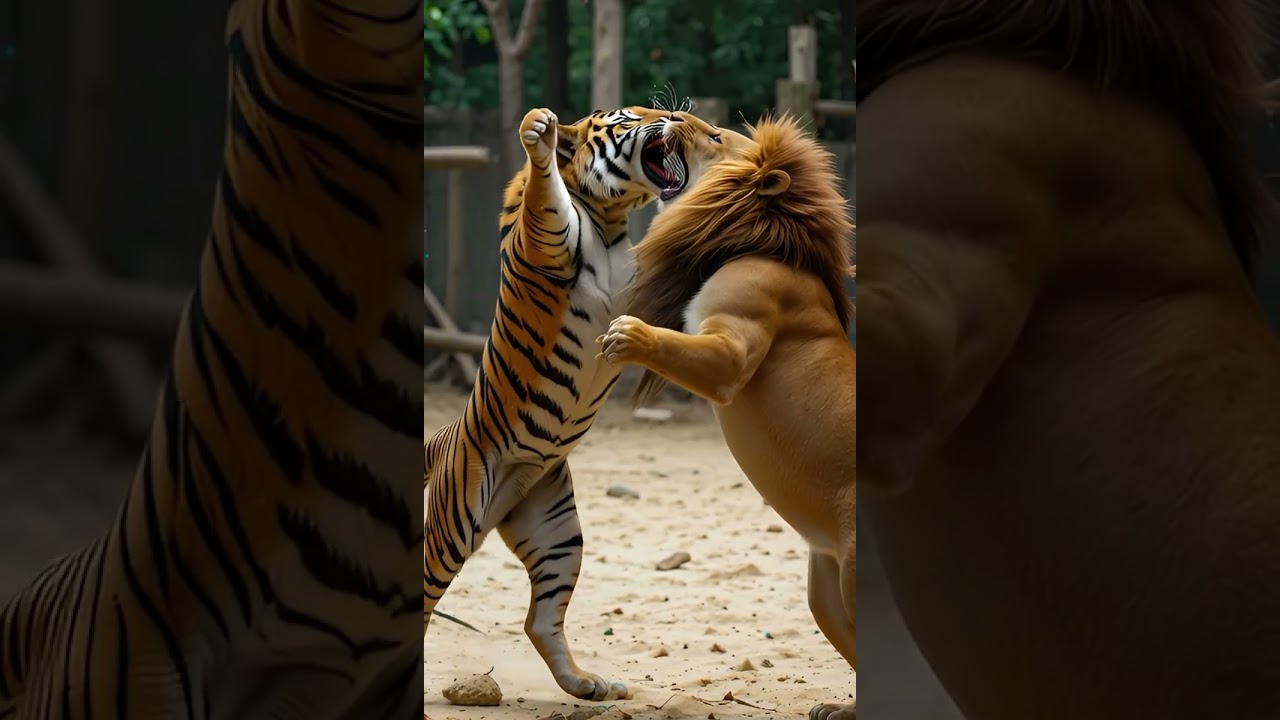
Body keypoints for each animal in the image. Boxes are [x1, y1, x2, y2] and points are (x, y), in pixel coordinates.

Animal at [423, 106, 751, 707]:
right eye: (632, 117)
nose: (675, 115)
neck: (610, 222)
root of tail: (447, 434)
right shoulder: (546, 234)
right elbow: (543, 193)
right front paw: (540, 130)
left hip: (556, 531)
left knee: (539, 620)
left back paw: (589, 684)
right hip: (457, 520)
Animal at [598, 115, 856, 720]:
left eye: (715, 137)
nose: (675, 116)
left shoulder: (734, 347)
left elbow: (678, 345)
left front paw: (627, 335)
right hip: (825, 590)